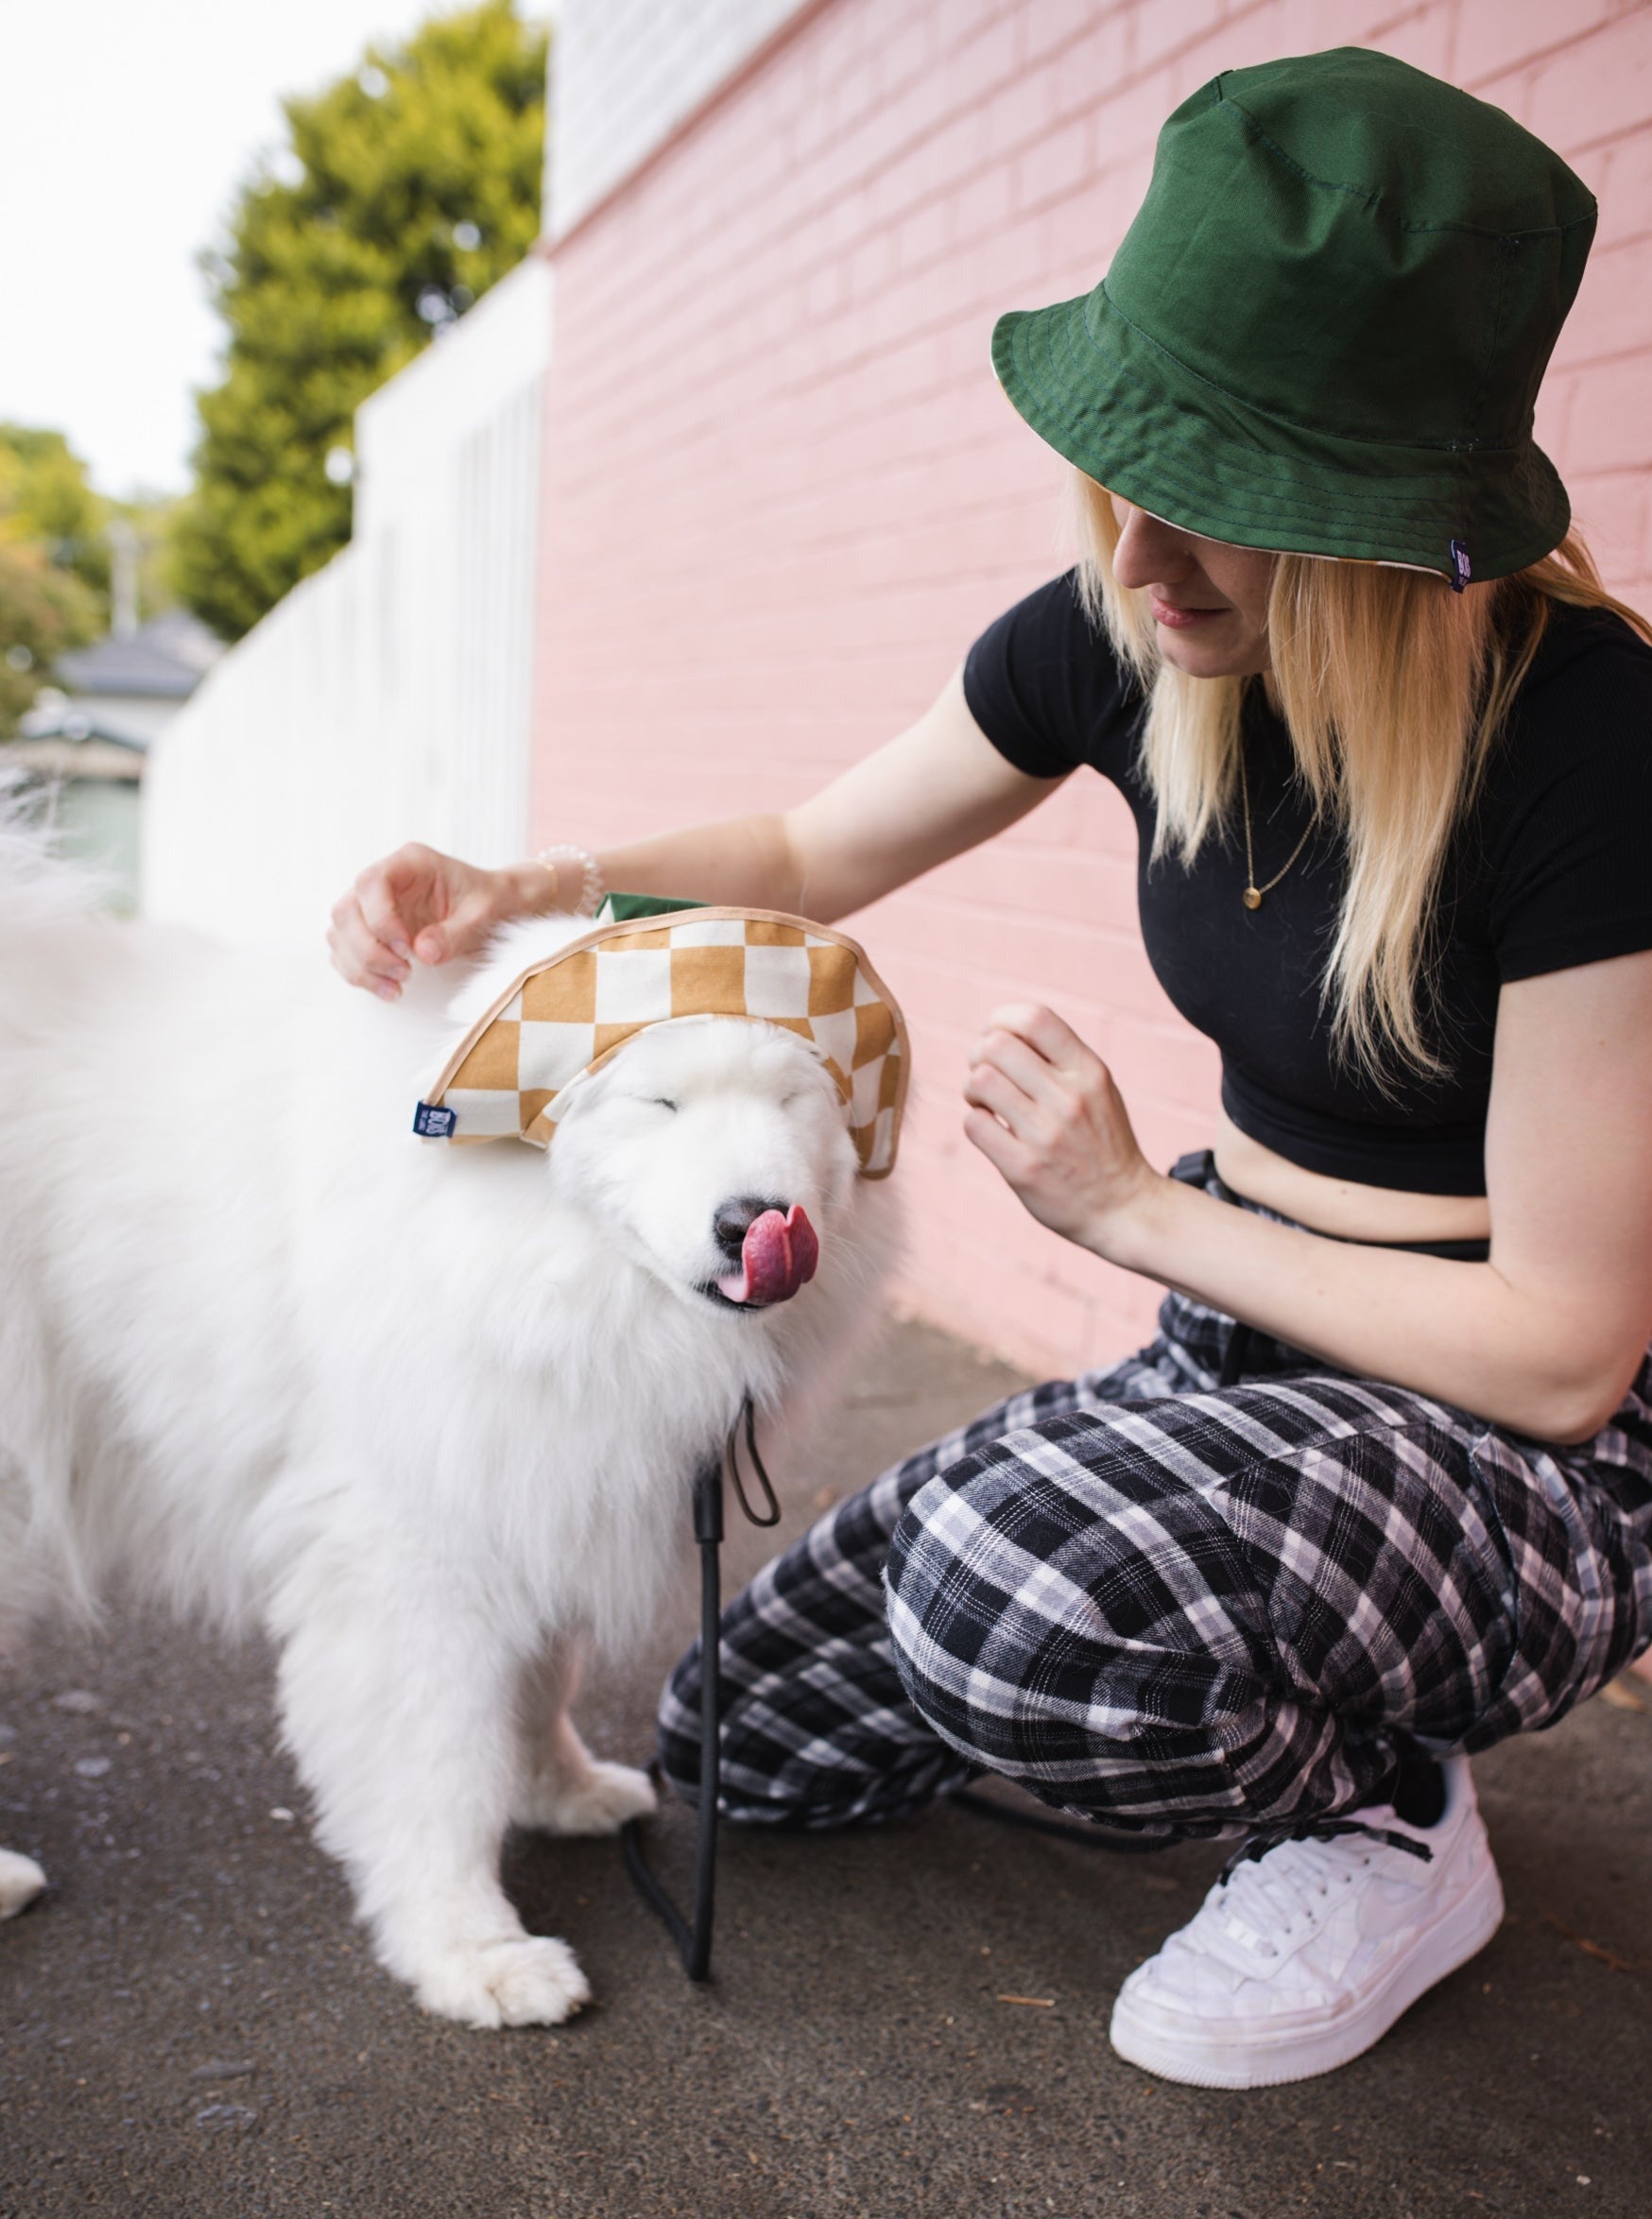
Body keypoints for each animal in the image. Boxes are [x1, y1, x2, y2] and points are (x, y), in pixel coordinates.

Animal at [0, 817, 892, 2032]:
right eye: (657, 1105)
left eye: (793, 1101)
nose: (754, 1221)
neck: (527, 1254)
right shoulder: (413, 1556)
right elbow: (440, 1766)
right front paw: (472, 1948)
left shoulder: (538, 1474)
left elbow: (538, 1687)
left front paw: (563, 1791)